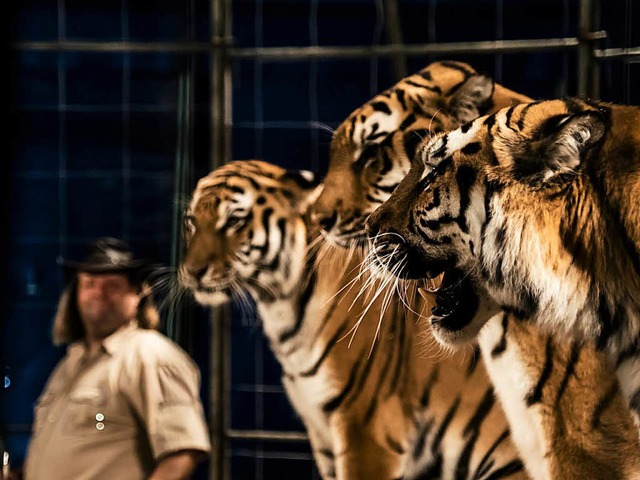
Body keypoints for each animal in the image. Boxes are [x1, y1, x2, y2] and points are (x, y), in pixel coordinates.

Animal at [179, 160, 524, 480]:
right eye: (192, 222)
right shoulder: (321, 433)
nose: (192, 272)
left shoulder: (367, 430)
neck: (282, 307)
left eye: (234, 221)